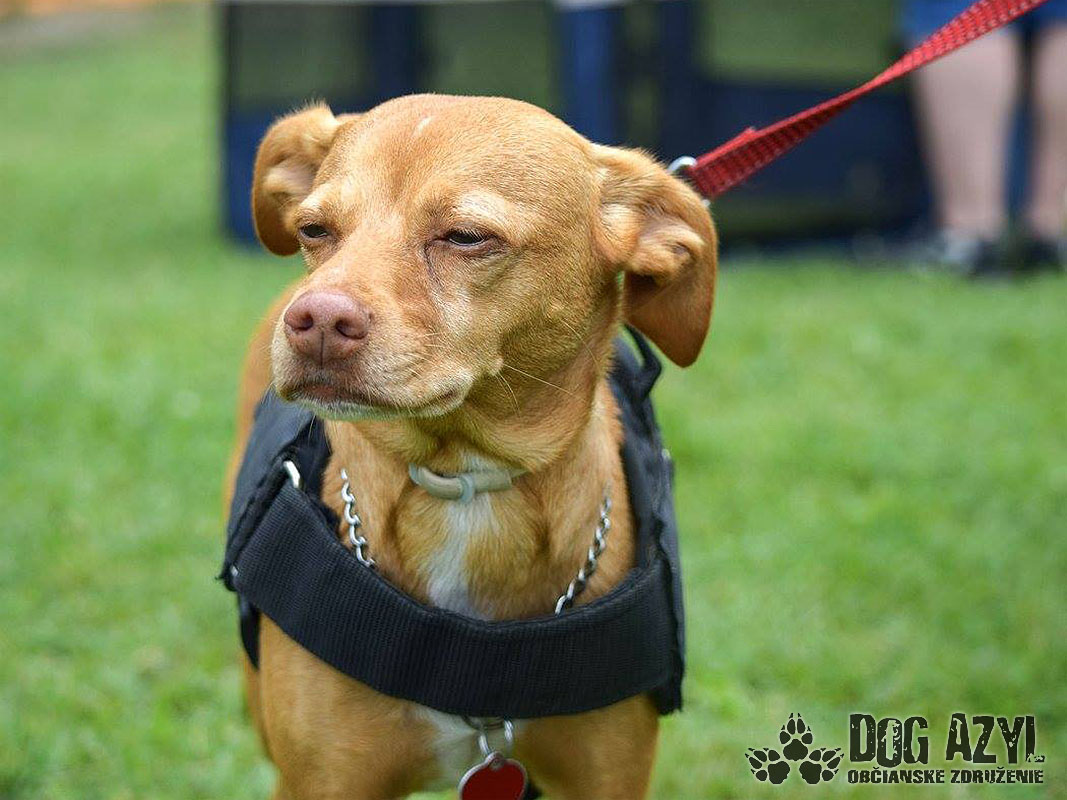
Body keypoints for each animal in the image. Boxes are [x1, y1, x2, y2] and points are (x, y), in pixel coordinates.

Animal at [224, 94, 717, 800]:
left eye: (466, 237)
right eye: (314, 229)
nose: (315, 319)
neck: (464, 481)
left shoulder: (608, 776)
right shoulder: (325, 780)